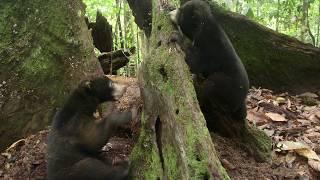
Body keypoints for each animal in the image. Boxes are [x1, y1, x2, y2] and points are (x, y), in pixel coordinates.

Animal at [170, 0, 250, 132]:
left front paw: (176, 37)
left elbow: (195, 62)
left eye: (180, 12)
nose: (169, 13)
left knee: (211, 85)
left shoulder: (208, 49)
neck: (203, 26)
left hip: (226, 85)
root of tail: (241, 100)